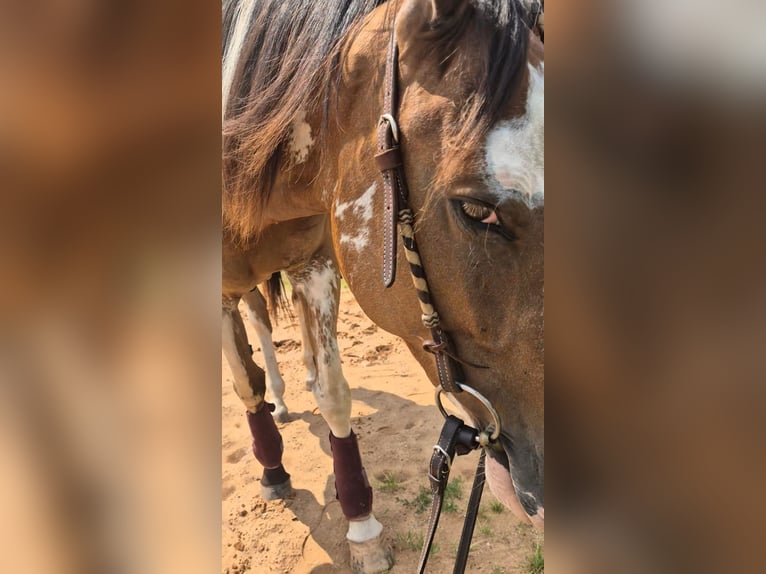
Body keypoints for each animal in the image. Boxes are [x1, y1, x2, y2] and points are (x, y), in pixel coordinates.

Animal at [222, 1, 544, 572]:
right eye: (476, 210)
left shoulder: (316, 263)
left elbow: (333, 395)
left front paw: (360, 525)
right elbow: (243, 383)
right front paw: (272, 469)